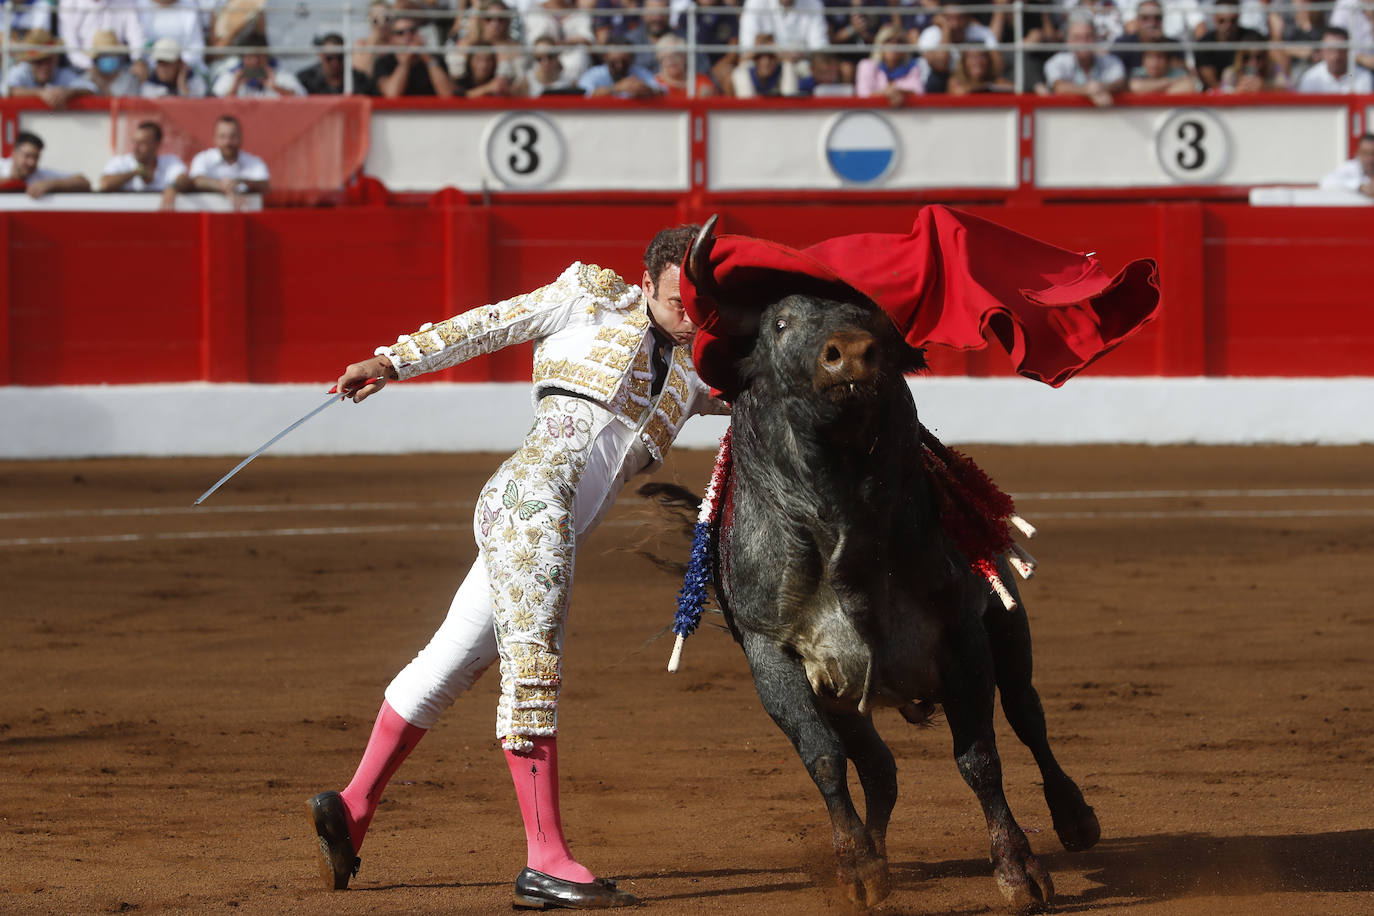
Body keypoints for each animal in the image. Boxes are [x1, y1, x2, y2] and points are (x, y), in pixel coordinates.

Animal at [681, 219, 1099, 911]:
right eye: (781, 323)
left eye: (875, 317)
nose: (851, 351)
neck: (842, 510)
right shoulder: (772, 652)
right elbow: (823, 757)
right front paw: (857, 868)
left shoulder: (962, 633)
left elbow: (980, 757)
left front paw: (1019, 870)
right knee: (878, 766)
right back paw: (875, 853)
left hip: (1008, 629)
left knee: (1027, 715)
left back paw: (1075, 818)